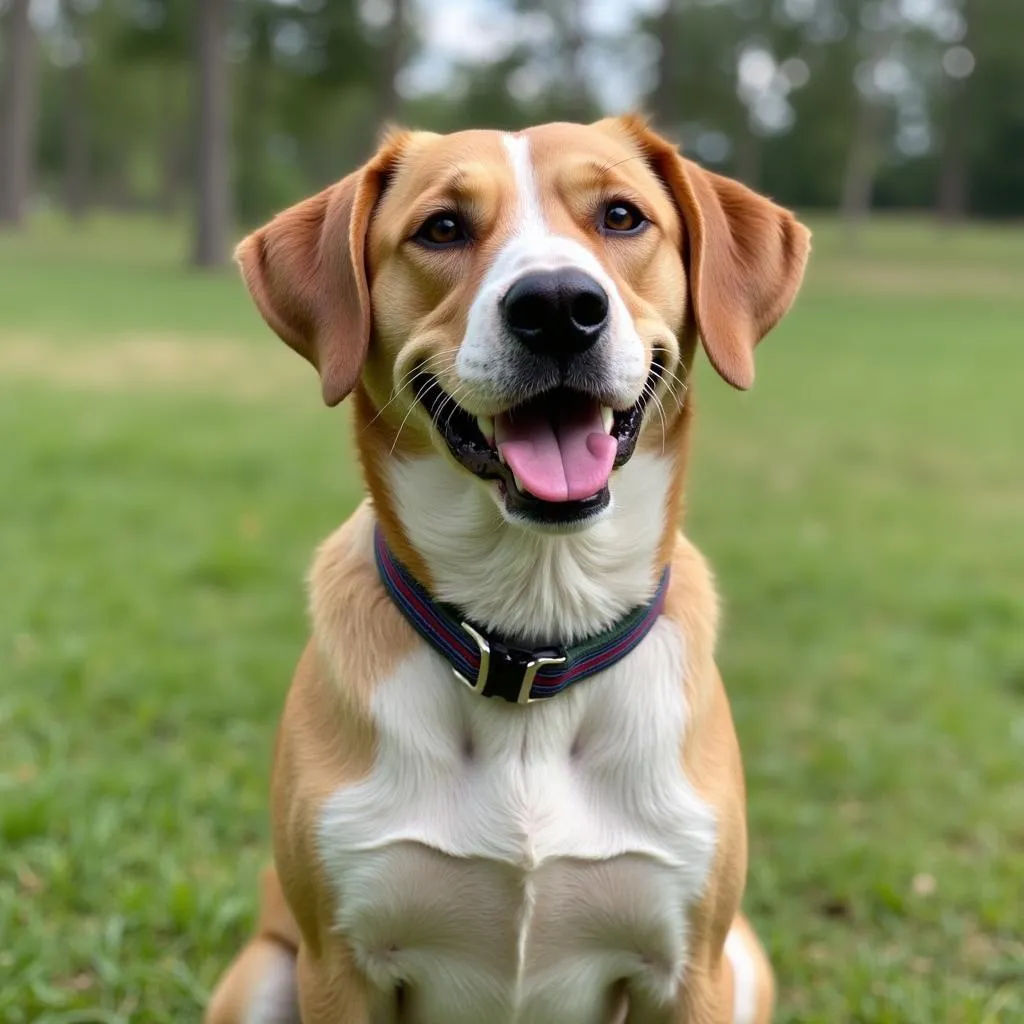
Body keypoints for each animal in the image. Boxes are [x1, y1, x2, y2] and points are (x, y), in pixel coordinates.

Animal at [205, 114, 806, 1024]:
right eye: (442, 228)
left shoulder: (689, 972)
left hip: (741, 957)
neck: (535, 626)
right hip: (266, 972)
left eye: (622, 216)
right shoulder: (338, 967)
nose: (557, 306)